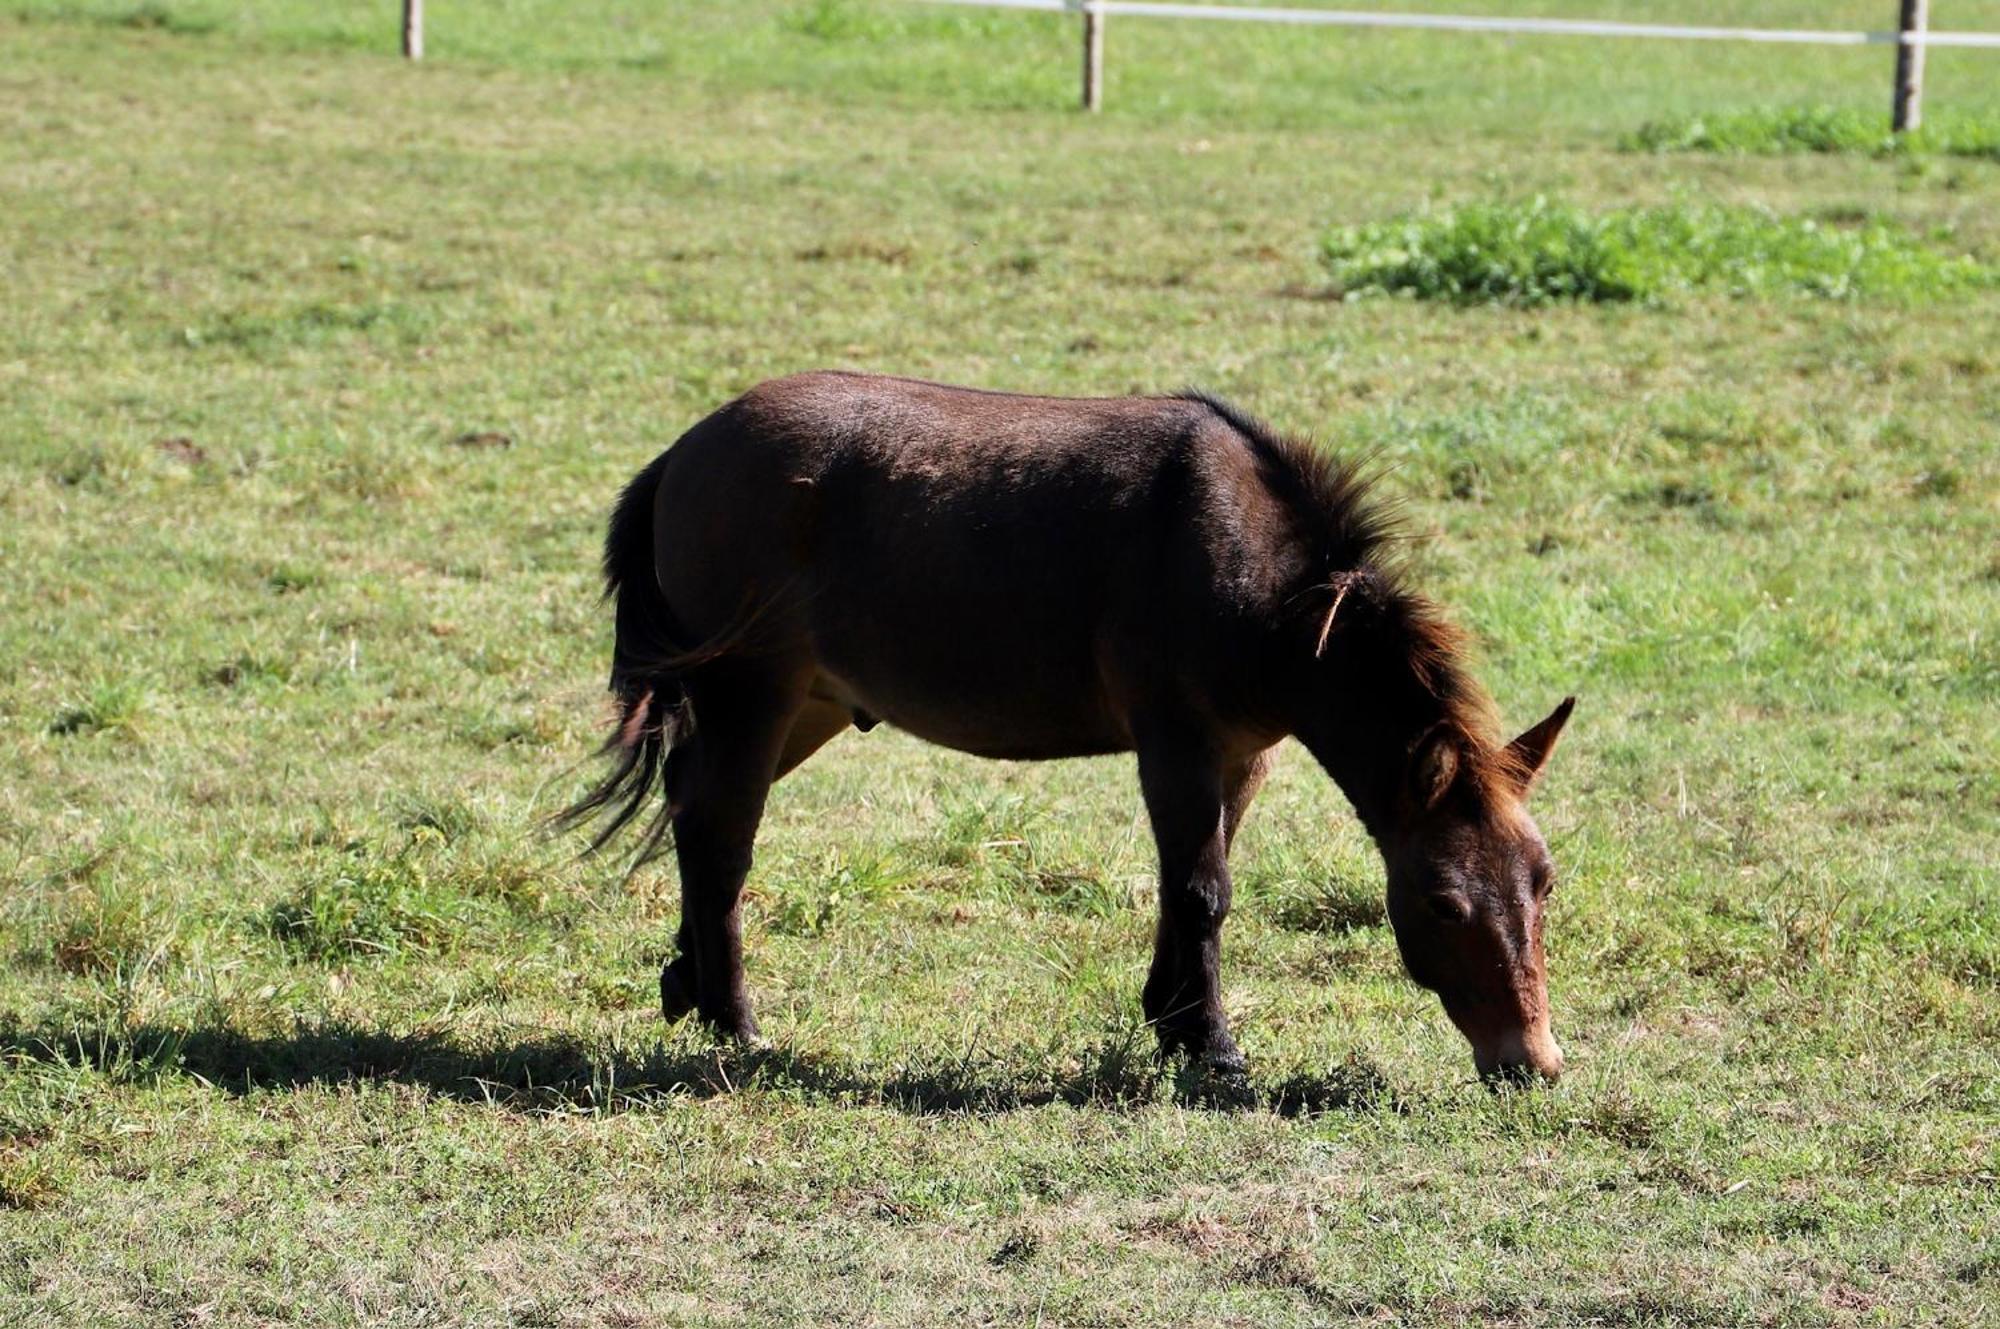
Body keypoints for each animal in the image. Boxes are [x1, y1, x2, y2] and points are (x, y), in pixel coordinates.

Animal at [564, 368, 1576, 1088]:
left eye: (1544, 883)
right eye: (1442, 902)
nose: (1532, 1062)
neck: (1266, 589)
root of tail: (681, 453)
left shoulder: (1240, 756)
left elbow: (1190, 883)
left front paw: (1172, 1019)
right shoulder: (1176, 744)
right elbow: (1203, 889)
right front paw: (1213, 1044)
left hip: (798, 707)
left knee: (693, 814)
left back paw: (688, 983)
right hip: (754, 694)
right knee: (721, 842)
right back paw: (734, 1021)